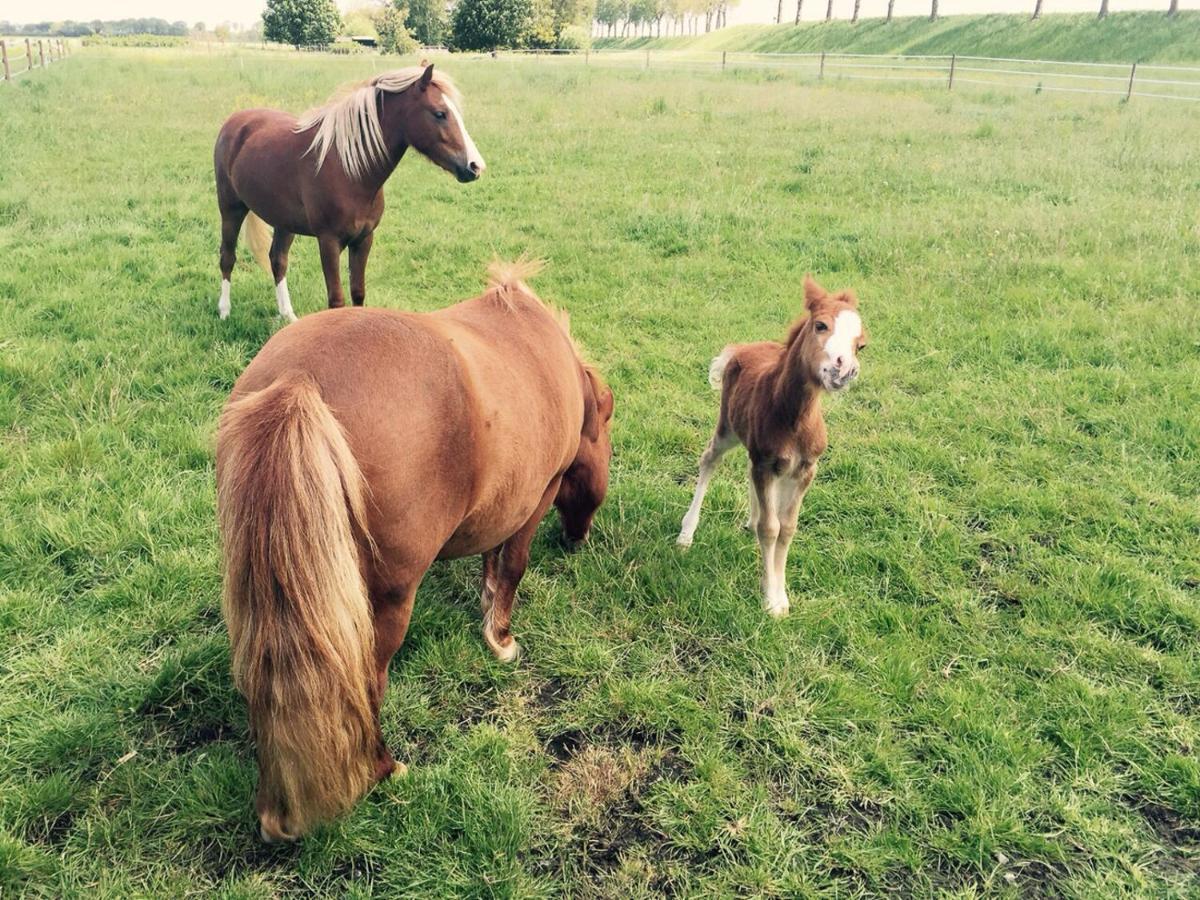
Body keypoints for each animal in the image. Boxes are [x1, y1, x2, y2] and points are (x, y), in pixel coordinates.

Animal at [213, 65, 484, 321]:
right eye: (440, 113)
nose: (475, 166)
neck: (349, 170)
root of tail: (236, 120)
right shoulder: (329, 242)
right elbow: (337, 299)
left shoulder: (364, 239)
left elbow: (358, 292)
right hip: (230, 209)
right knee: (228, 257)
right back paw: (225, 311)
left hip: (284, 222)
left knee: (278, 261)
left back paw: (288, 315)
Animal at [216, 260, 614, 844]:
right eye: (606, 434)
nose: (579, 536)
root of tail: (297, 381)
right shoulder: (536, 498)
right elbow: (512, 566)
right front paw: (500, 639)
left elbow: (490, 559)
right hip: (384, 604)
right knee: (367, 684)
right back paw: (384, 769)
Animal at [676, 274, 864, 619]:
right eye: (820, 325)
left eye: (861, 344)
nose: (844, 371)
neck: (794, 418)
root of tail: (744, 347)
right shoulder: (766, 463)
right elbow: (771, 528)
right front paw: (771, 600)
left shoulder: (804, 468)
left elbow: (786, 527)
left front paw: (779, 592)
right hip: (728, 428)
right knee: (709, 460)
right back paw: (686, 534)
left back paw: (748, 522)